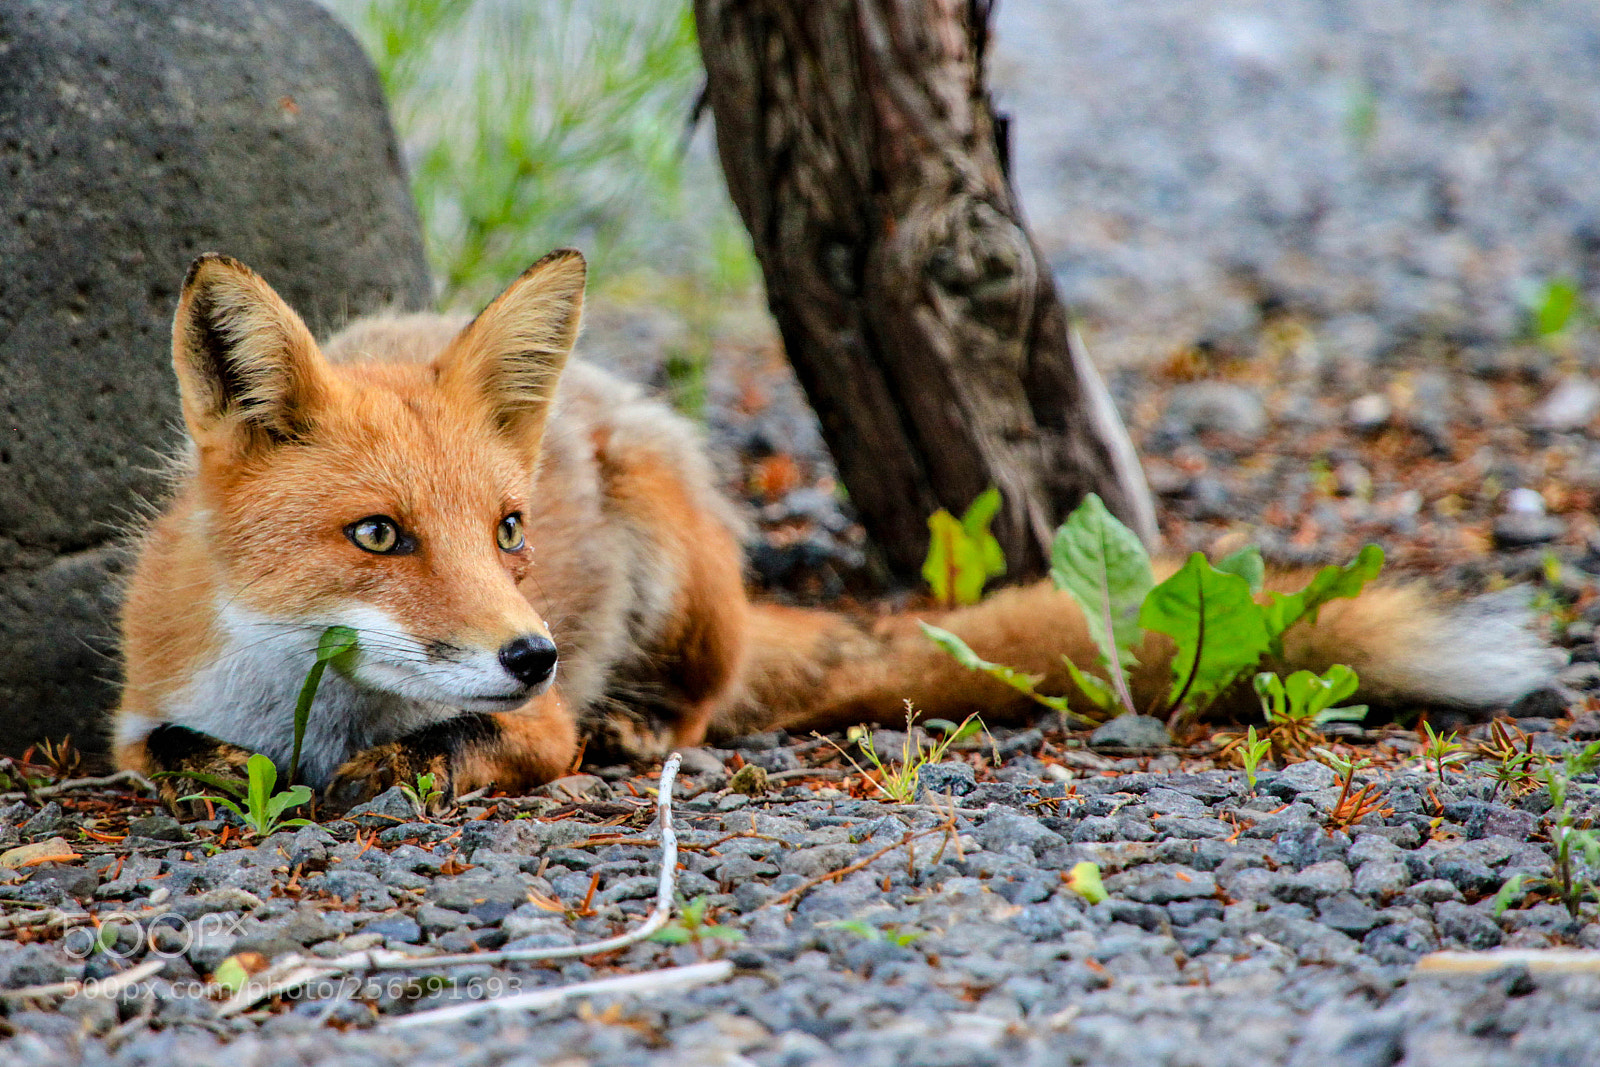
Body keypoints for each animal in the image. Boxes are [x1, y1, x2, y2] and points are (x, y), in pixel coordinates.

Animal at [115, 248, 1563, 806]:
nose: (533, 649)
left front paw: (401, 767)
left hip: (669, 532)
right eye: (379, 536)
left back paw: (646, 723)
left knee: (705, 695)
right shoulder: (142, 717)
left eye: (509, 528)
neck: (310, 708)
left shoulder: (528, 723)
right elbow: (180, 754)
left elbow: (469, 750)